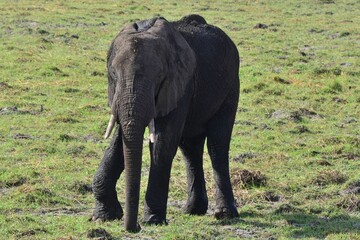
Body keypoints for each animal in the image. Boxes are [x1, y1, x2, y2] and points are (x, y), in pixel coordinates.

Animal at [92, 14, 239, 232]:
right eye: (113, 75)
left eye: (159, 78)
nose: (134, 228)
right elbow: (120, 140)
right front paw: (103, 217)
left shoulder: (181, 84)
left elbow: (163, 143)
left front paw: (152, 220)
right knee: (190, 148)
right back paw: (192, 211)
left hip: (230, 86)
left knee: (217, 145)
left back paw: (225, 215)